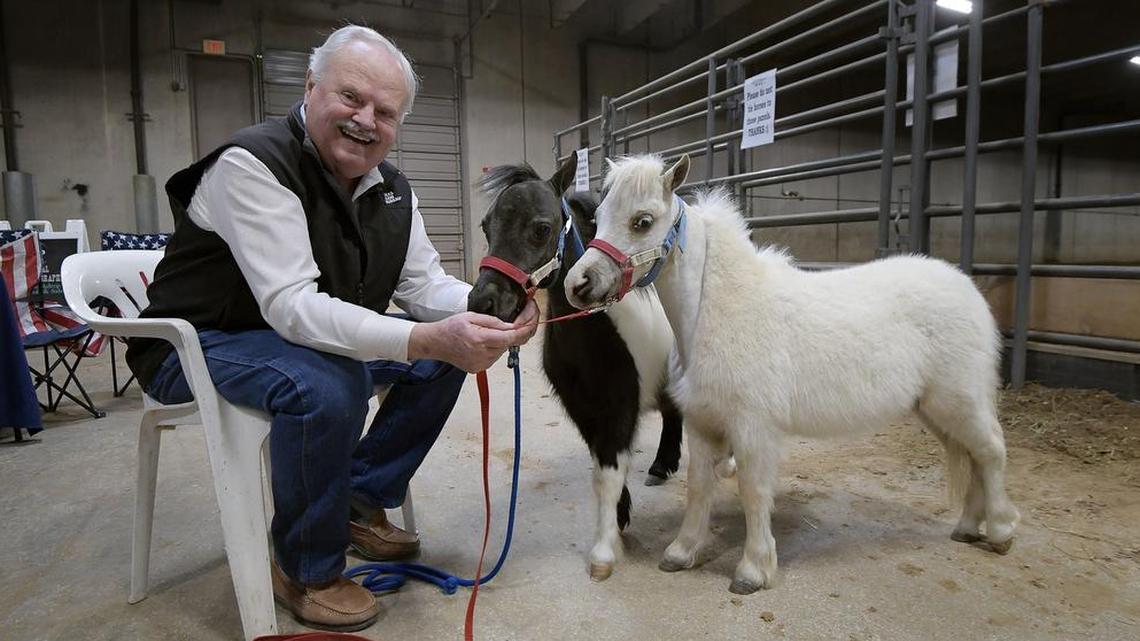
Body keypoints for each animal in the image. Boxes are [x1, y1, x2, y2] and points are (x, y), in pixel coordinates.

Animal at [467, 157, 686, 581]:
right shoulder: (582, 408)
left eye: (541, 228)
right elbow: (602, 469)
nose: (483, 302)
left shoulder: (620, 407)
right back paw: (661, 466)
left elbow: (610, 470)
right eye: (486, 226)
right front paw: (619, 517)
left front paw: (603, 552)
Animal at [564, 153, 1020, 594]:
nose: (578, 284)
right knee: (974, 456)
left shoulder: (753, 429)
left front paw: (753, 570)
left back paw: (1000, 531)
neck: (716, 310)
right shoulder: (702, 423)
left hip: (960, 400)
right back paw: (967, 528)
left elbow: (753, 492)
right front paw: (682, 551)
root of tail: (966, 287)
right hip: (935, 410)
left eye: (642, 221)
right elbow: (699, 486)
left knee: (992, 451)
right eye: (599, 215)